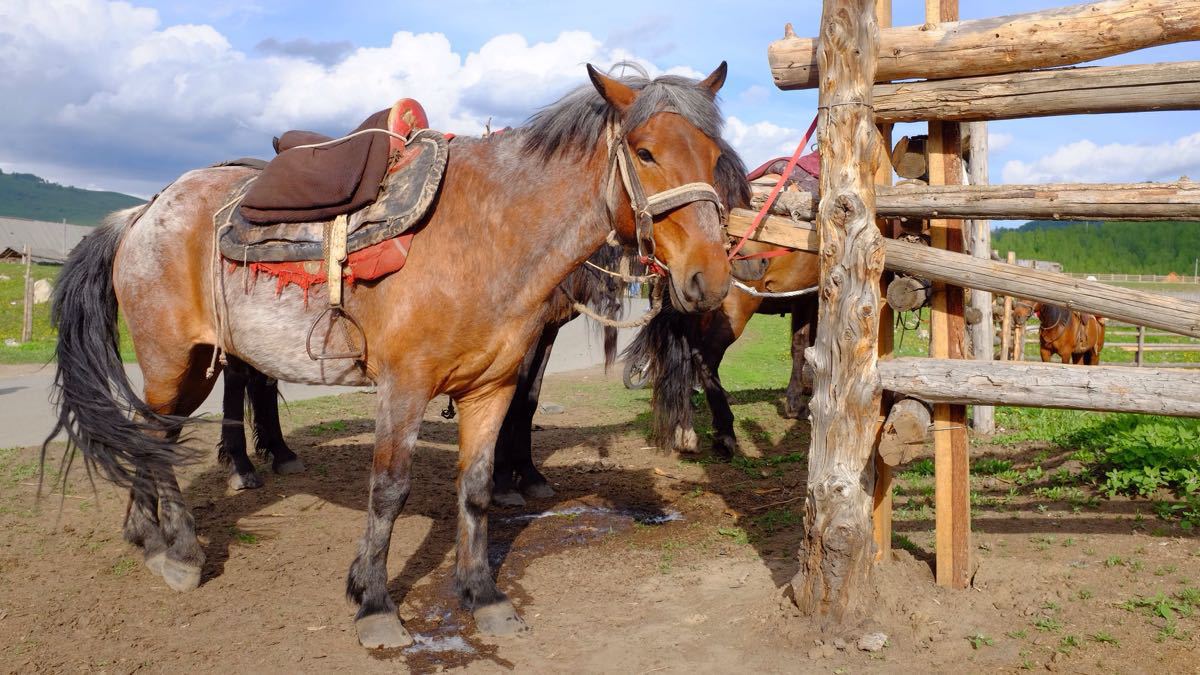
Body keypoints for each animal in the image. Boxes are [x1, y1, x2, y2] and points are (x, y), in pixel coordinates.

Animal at [46, 63, 734, 648]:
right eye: (645, 152)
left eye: (714, 156)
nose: (710, 278)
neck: (487, 233)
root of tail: (141, 213)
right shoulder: (404, 386)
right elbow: (389, 490)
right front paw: (374, 603)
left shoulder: (491, 388)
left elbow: (476, 488)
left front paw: (483, 595)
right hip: (174, 363)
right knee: (154, 440)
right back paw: (182, 552)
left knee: (147, 437)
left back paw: (146, 535)